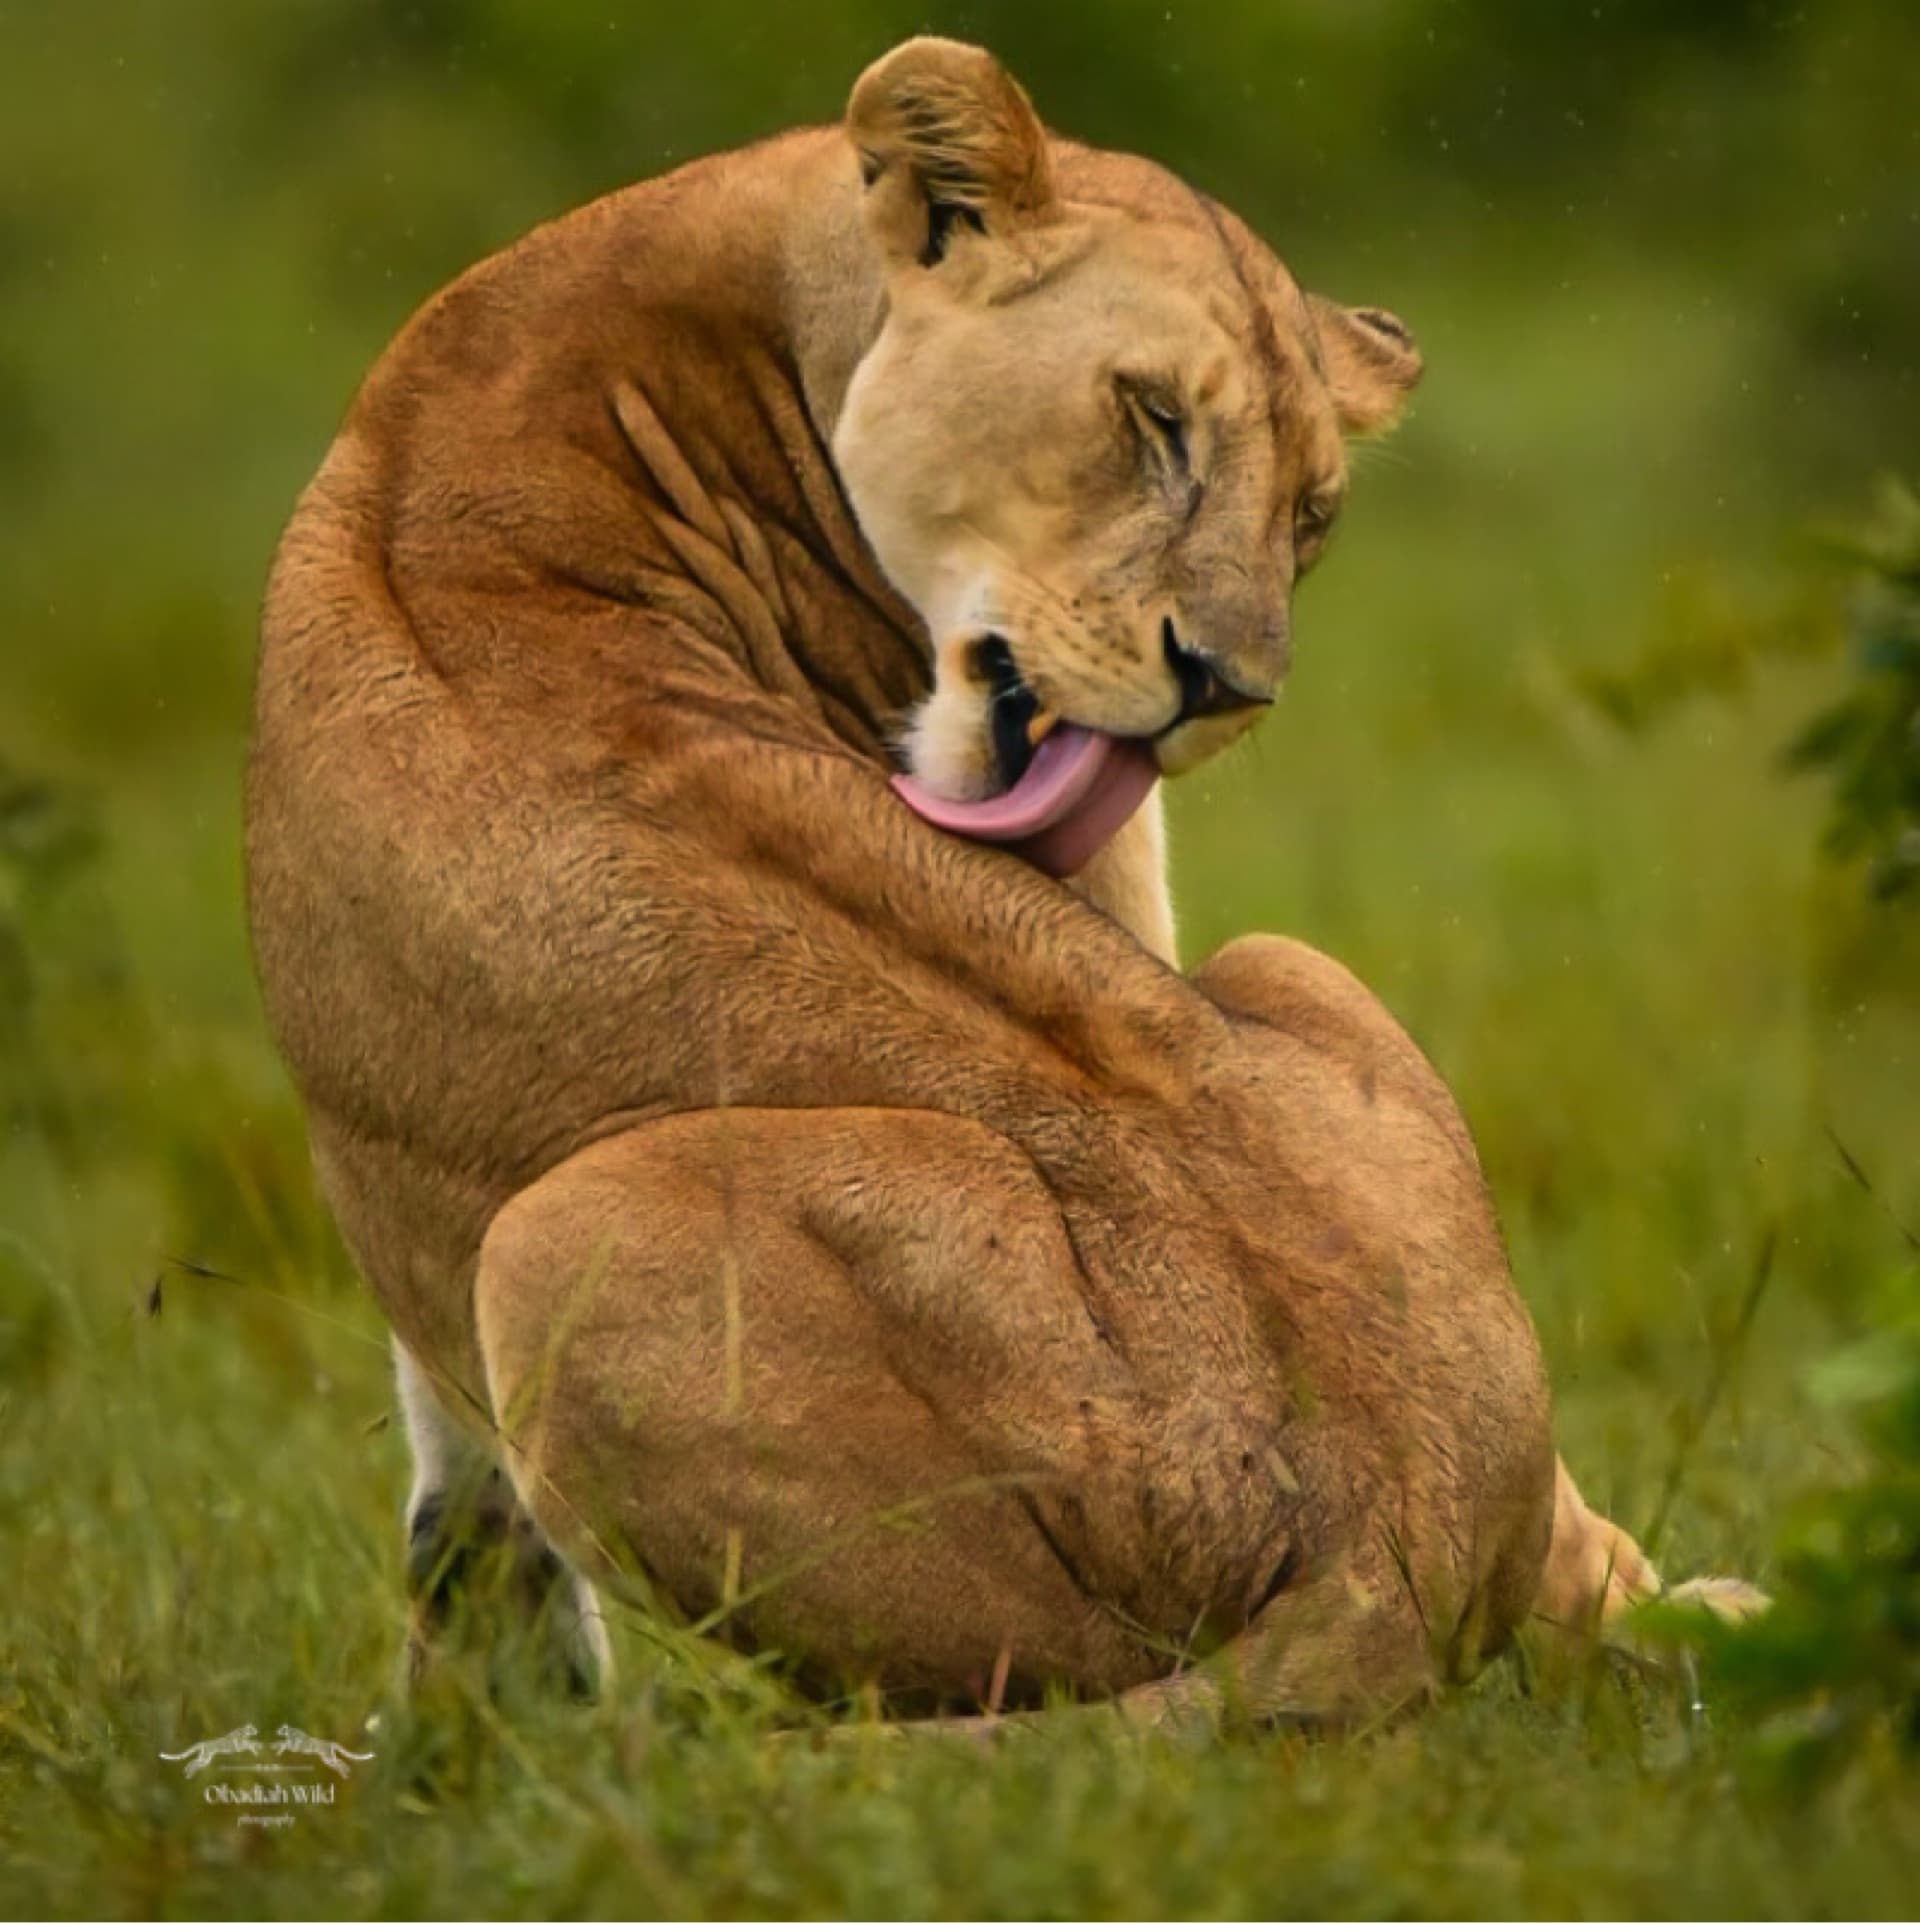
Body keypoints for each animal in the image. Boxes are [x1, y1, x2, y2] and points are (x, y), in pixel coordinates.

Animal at [246, 37, 1755, 1727]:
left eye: (1309, 512)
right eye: (1152, 419)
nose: (1230, 685)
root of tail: (1396, 1519)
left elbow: (460, 1479)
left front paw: (480, 1731)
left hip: (566, 1232)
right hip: (1280, 968)